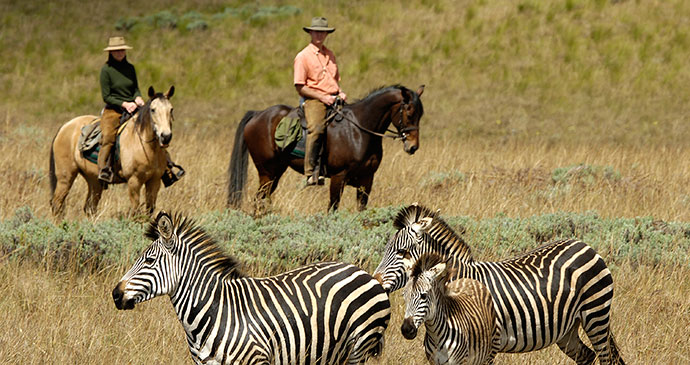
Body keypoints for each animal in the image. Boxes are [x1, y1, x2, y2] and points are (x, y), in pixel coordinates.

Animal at [49, 86, 175, 216]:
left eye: (171, 109)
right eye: (153, 110)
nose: (166, 136)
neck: (145, 146)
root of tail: (64, 126)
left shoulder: (154, 181)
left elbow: (149, 211)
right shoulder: (134, 182)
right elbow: (135, 211)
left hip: (93, 180)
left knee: (90, 207)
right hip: (65, 177)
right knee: (57, 204)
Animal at [227, 83, 420, 212]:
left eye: (420, 114)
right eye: (409, 113)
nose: (413, 147)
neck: (358, 130)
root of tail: (257, 114)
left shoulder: (367, 179)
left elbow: (361, 210)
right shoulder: (338, 177)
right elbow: (332, 209)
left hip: (276, 172)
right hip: (267, 172)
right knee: (258, 200)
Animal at [374, 203, 628, 362]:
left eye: (402, 252)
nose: (375, 280)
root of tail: (584, 244)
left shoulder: (490, 343)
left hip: (595, 315)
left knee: (605, 356)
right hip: (568, 329)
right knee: (588, 356)